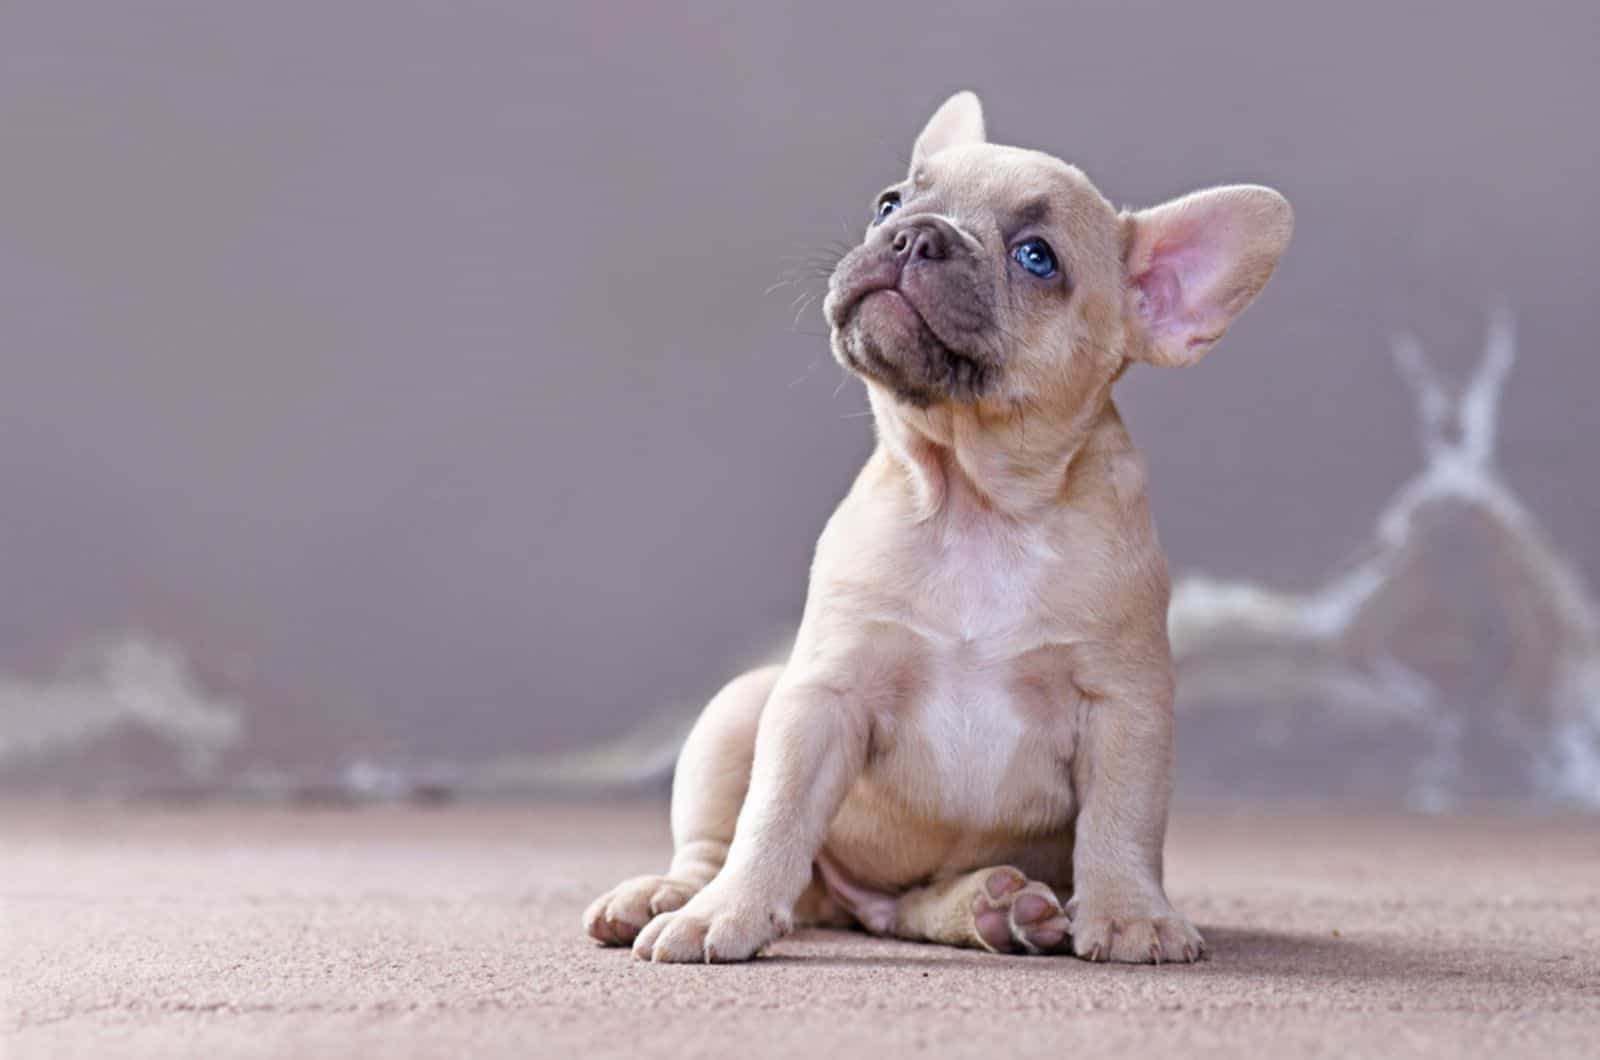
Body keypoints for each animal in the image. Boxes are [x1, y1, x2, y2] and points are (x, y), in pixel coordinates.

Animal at [582, 95, 1292, 967]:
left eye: (1037, 257)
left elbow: (1121, 820)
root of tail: (838, 908)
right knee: (715, 841)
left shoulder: (1124, 707)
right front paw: (726, 912)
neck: (973, 505)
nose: (917, 235)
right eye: (888, 203)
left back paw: (1000, 908)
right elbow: (773, 813)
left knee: (914, 909)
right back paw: (671, 894)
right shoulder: (821, 698)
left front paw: (1130, 911)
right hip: (740, 709)